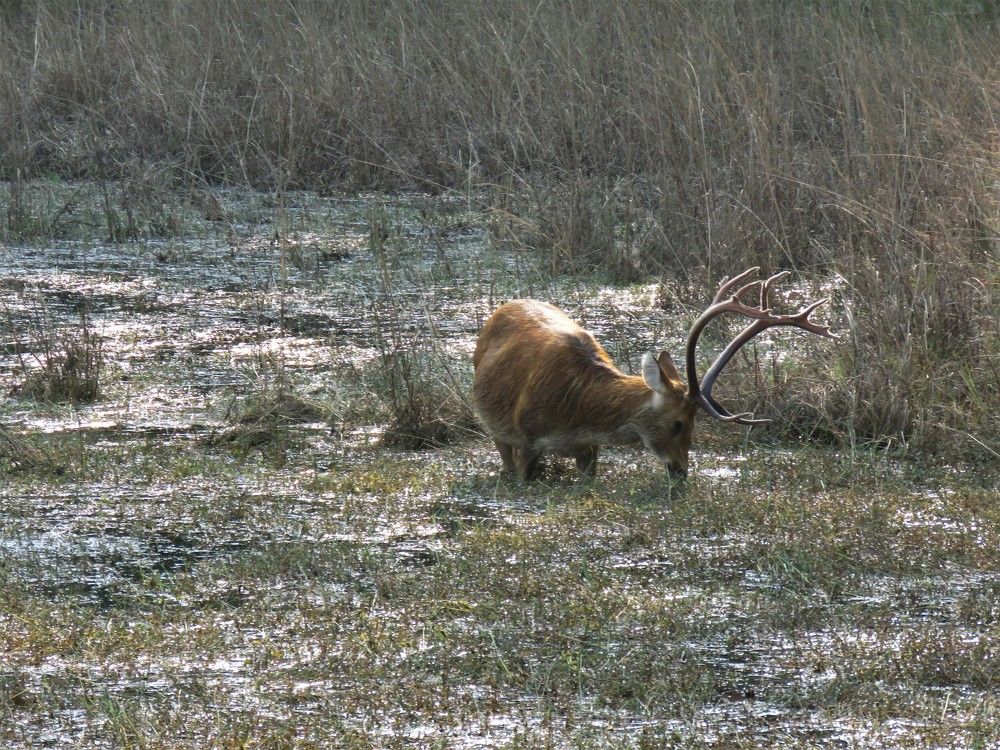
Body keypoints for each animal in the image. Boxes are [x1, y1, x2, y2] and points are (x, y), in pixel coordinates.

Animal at [472, 267, 835, 480]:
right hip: (496, 428)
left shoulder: (589, 449)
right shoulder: (527, 437)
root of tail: (504, 306)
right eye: (678, 423)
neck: (578, 414)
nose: (680, 471)